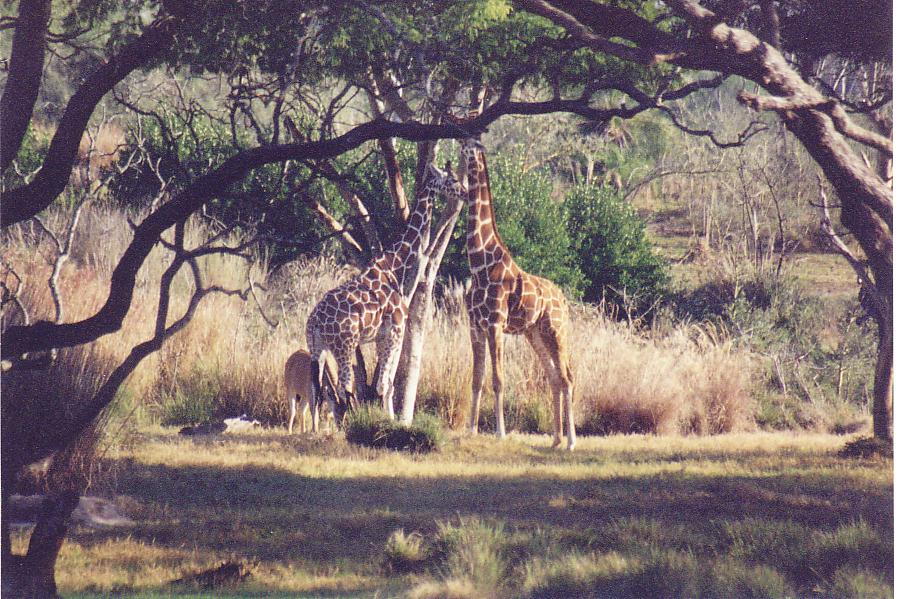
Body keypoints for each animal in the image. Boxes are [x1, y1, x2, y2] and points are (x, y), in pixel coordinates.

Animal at [305, 163, 463, 422]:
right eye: (452, 180)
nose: (466, 192)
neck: (395, 265)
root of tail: (314, 321)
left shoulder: (381, 336)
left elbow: (386, 384)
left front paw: (388, 420)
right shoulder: (395, 331)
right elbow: (385, 384)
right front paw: (389, 422)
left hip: (316, 347)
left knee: (317, 390)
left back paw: (315, 428)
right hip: (344, 345)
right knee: (343, 387)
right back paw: (345, 424)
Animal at [460, 136, 577, 450]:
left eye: (470, 142)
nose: (460, 146)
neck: (479, 262)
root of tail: (563, 299)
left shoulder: (495, 324)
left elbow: (498, 379)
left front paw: (499, 433)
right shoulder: (475, 325)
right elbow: (476, 378)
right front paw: (470, 430)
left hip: (556, 330)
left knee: (568, 377)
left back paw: (571, 442)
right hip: (534, 333)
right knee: (554, 378)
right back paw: (555, 439)